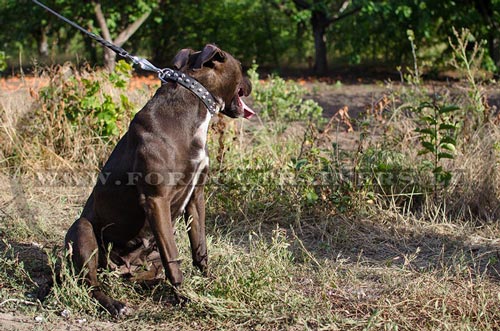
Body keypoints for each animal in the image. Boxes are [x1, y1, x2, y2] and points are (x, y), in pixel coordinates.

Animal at [64, 44, 254, 316]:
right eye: (240, 67)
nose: (251, 84)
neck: (192, 105)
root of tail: (122, 270)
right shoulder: (157, 199)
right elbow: (173, 256)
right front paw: (185, 296)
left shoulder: (196, 196)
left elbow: (200, 247)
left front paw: (209, 283)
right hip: (83, 230)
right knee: (91, 284)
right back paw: (116, 304)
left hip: (147, 259)